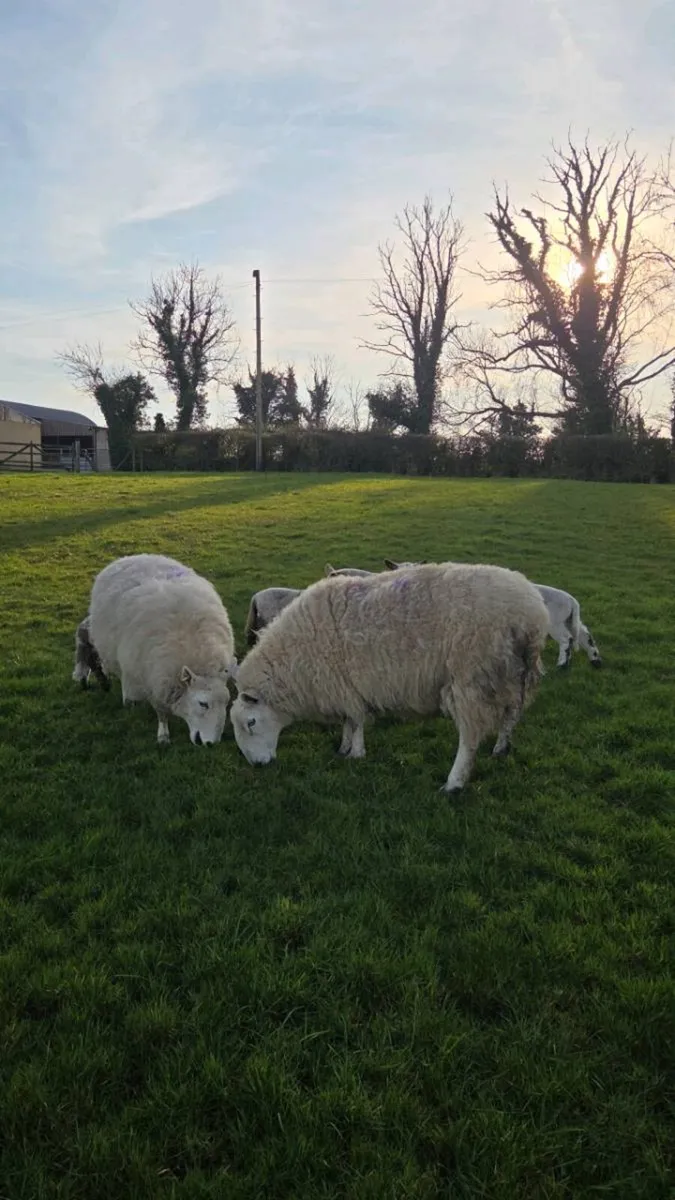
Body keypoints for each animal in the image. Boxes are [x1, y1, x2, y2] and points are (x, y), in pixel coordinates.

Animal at [83, 553, 237, 745]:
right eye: (203, 704)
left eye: (226, 702)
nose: (210, 744)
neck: (197, 652)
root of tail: (132, 556)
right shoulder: (153, 679)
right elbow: (161, 711)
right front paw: (163, 735)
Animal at [230, 563, 549, 793]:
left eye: (251, 722)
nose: (258, 765)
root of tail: (532, 614)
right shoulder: (344, 685)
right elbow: (349, 720)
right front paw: (344, 748)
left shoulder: (342, 682)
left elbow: (356, 720)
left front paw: (355, 753)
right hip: (512, 675)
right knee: (511, 715)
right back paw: (501, 749)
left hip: (472, 677)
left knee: (470, 738)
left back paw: (453, 783)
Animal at [384, 559, 602, 669]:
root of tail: (571, 600)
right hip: (568, 619)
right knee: (584, 635)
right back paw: (595, 660)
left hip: (555, 622)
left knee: (567, 640)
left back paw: (562, 664)